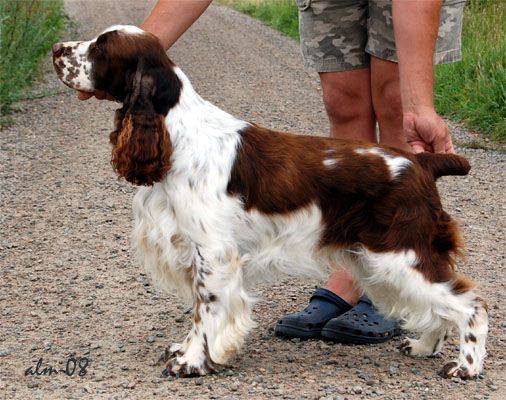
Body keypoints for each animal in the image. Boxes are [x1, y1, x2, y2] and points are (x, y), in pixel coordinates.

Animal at [51, 24, 486, 378]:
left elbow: (206, 308)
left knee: (470, 305)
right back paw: (423, 347)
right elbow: (198, 309)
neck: (176, 133)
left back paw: (466, 366)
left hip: (400, 254)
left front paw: (192, 362)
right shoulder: (193, 248)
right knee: (441, 307)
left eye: (101, 49)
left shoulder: (213, 252)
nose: (56, 49)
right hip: (380, 259)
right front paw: (187, 351)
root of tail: (421, 161)